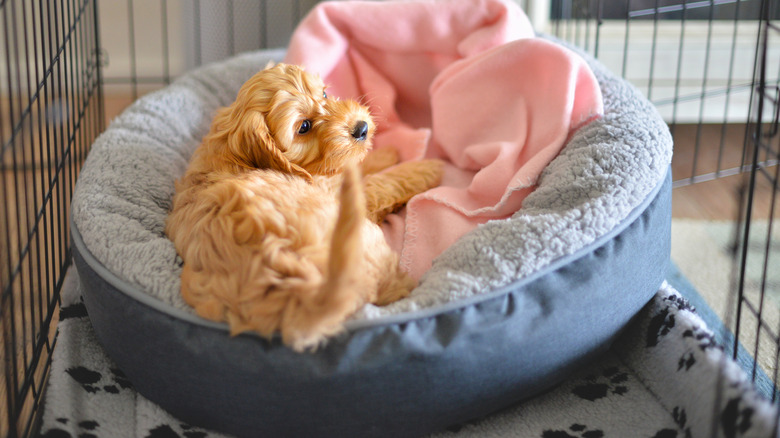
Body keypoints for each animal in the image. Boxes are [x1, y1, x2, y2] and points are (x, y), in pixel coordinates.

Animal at [167, 63, 442, 350]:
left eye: (324, 94)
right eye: (305, 126)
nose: (362, 128)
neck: (235, 152)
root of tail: (303, 291)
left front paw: (385, 153)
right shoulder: (335, 192)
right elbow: (382, 182)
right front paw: (425, 168)